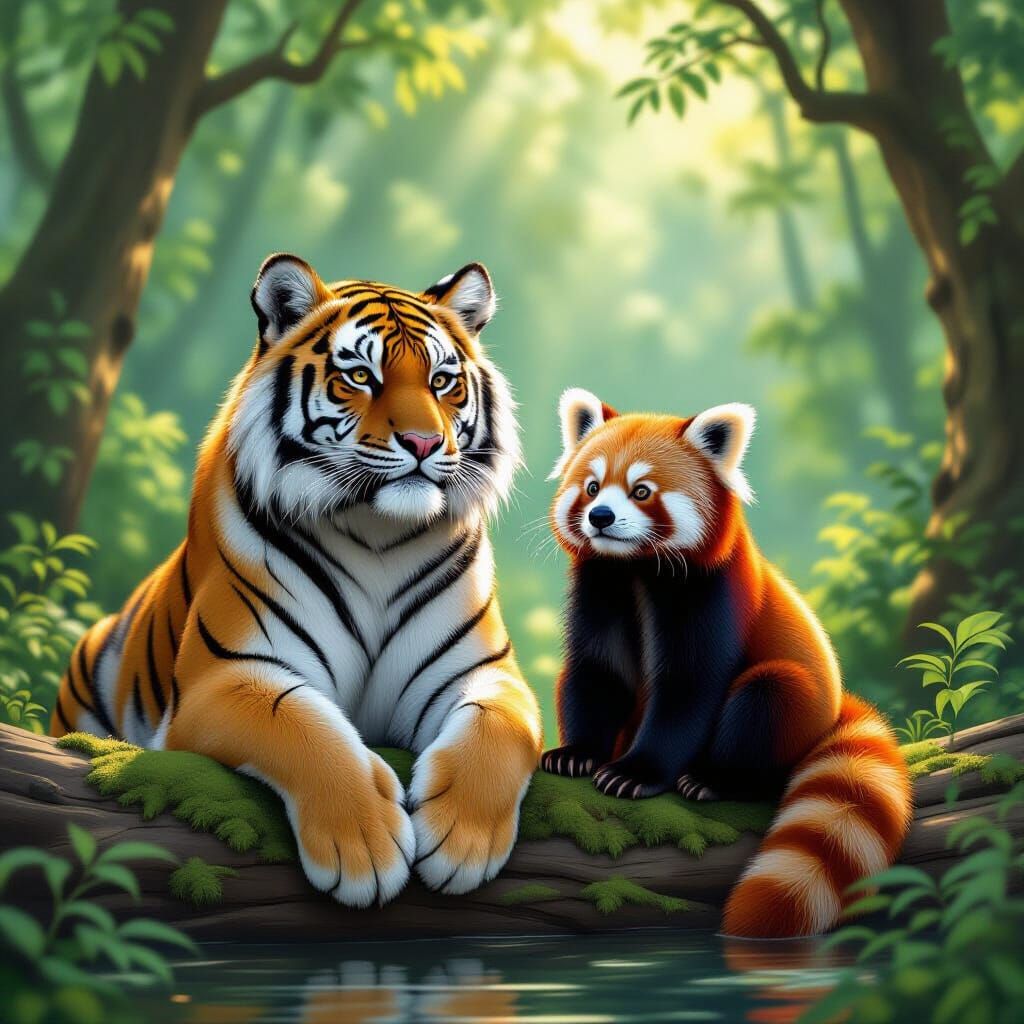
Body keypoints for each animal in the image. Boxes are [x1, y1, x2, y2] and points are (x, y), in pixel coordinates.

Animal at [50, 254, 542, 907]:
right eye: (360, 376)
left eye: (442, 381)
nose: (424, 441)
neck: (379, 534)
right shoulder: (227, 674)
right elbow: (305, 728)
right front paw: (363, 848)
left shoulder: (485, 673)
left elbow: (499, 730)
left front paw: (463, 840)